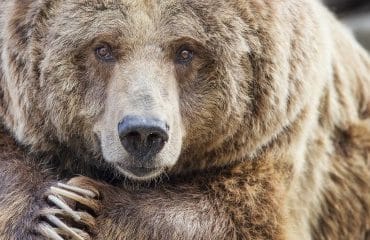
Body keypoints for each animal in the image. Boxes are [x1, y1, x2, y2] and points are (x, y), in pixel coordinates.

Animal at [0, 0, 370, 239]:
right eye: (102, 47)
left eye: (185, 51)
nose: (143, 133)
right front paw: (53, 214)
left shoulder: (279, 131)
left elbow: (237, 216)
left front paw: (86, 206)